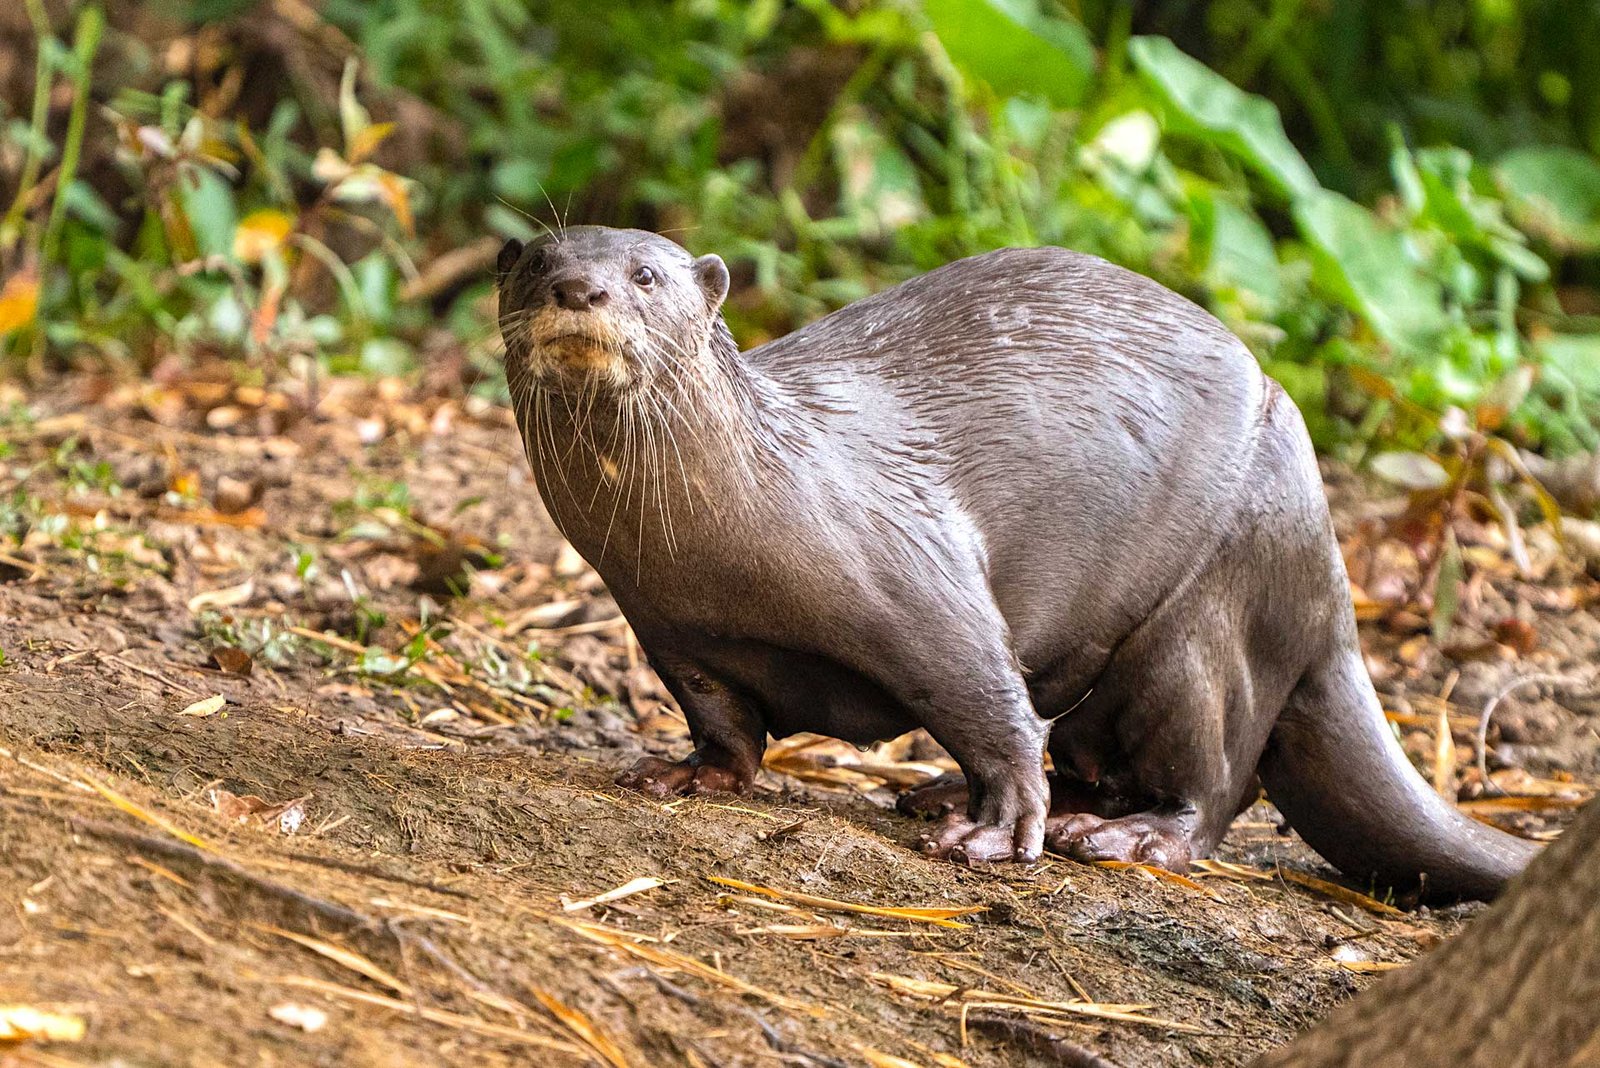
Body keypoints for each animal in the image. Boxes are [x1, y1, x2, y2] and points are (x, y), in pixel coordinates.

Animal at [495, 225, 1537, 900]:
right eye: (537, 261)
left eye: (645, 275)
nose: (578, 290)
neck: (718, 539)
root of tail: (1332, 584)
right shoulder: (671, 629)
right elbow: (723, 724)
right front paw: (684, 775)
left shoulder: (920, 574)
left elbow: (987, 700)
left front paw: (997, 833)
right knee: (1099, 751)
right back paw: (952, 796)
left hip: (1216, 597)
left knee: (1214, 782)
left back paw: (1122, 836)